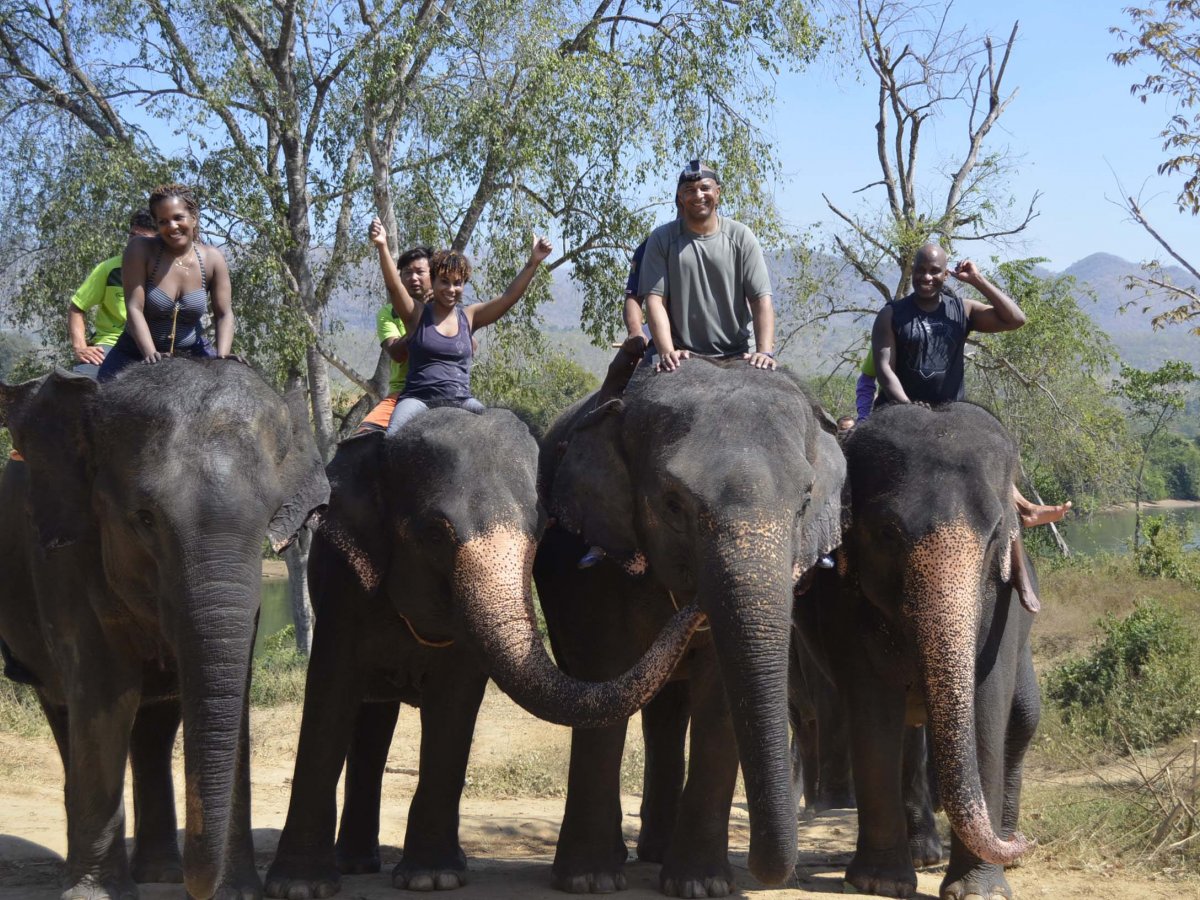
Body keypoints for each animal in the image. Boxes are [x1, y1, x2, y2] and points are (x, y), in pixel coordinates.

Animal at [0, 362, 328, 900]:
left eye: (269, 519)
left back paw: (159, 874)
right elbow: (105, 696)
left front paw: (236, 893)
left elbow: (230, 693)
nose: (200, 890)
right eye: (144, 518)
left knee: (154, 727)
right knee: (68, 710)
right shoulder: (67, 561)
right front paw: (93, 896)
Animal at [258, 410, 700, 900]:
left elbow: (454, 704)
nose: (698, 606)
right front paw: (300, 886)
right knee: (371, 718)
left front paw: (432, 878)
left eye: (541, 529)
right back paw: (354, 866)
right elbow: (329, 695)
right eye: (434, 534)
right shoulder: (342, 583)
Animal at [535, 360, 844, 897]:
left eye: (805, 502)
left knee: (667, 711)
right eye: (673, 503)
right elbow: (603, 680)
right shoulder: (595, 565)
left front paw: (701, 885)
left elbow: (718, 699)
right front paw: (588, 879)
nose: (771, 873)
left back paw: (658, 852)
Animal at [816, 403, 1041, 900]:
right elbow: (872, 705)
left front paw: (979, 892)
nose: (1027, 841)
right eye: (887, 532)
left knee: (1023, 718)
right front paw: (880, 883)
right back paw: (927, 856)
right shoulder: (843, 601)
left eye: (997, 533)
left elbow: (987, 705)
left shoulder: (1003, 605)